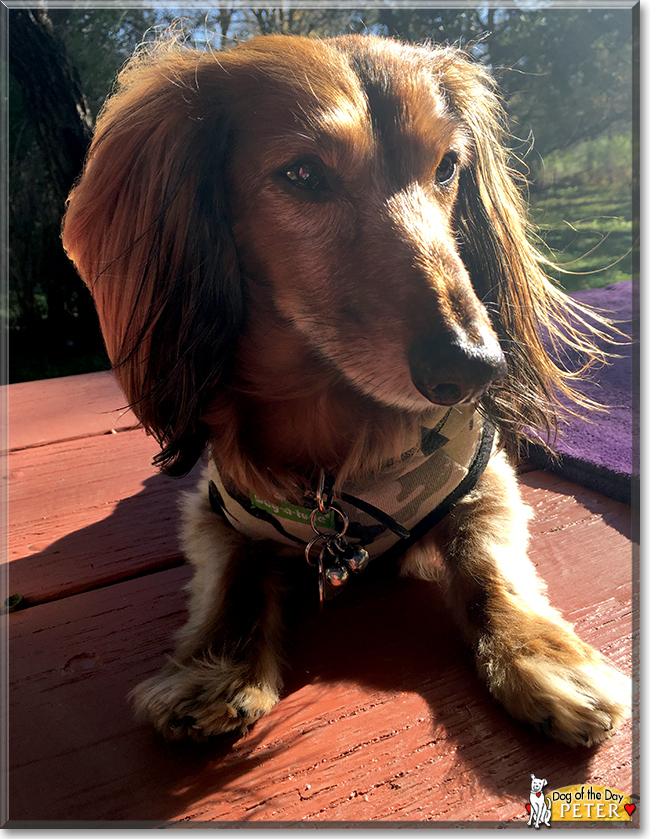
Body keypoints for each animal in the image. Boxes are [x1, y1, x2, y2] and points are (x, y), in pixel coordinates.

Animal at [62, 32, 628, 744]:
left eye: (447, 166)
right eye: (303, 175)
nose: (476, 366)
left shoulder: (483, 478)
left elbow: (487, 566)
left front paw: (543, 657)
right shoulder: (216, 510)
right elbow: (235, 575)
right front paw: (214, 669)